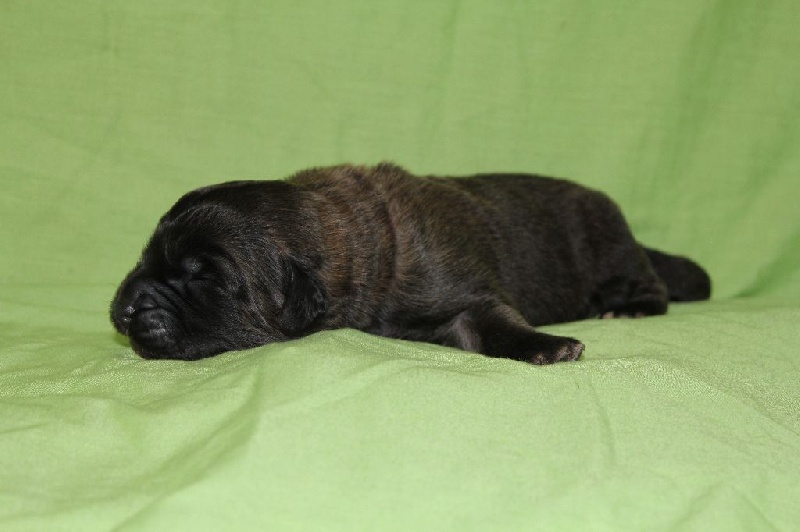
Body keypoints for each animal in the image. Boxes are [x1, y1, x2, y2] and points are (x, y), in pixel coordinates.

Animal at [110, 163, 711, 363]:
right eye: (144, 259)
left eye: (207, 278)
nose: (123, 310)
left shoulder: (464, 296)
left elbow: (496, 322)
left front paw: (545, 345)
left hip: (609, 245)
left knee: (651, 284)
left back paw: (630, 308)